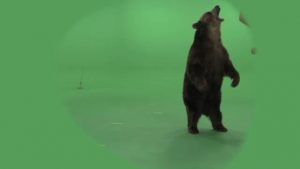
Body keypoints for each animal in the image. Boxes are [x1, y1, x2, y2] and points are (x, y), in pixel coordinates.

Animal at [182, 5, 240, 135]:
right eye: (208, 12)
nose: (217, 5)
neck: (212, 41)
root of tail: (204, 111)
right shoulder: (199, 54)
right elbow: (194, 69)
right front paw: (204, 86)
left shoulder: (221, 54)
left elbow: (229, 67)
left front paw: (235, 82)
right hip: (192, 99)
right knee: (192, 114)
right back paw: (193, 128)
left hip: (215, 102)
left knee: (217, 115)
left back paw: (221, 127)